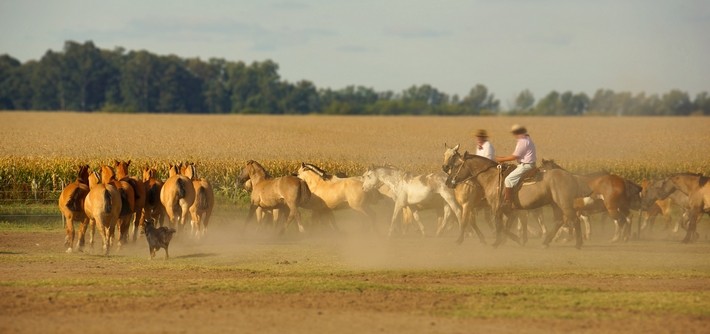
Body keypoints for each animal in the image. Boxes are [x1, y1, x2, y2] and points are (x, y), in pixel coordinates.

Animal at [448, 154, 588, 248]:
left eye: (456, 165)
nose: (449, 181)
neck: (491, 178)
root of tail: (570, 176)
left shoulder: (496, 208)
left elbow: (500, 225)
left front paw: (499, 242)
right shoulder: (510, 210)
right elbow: (505, 225)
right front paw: (511, 240)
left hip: (564, 204)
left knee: (574, 220)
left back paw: (578, 243)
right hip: (555, 205)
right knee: (559, 221)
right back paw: (546, 242)